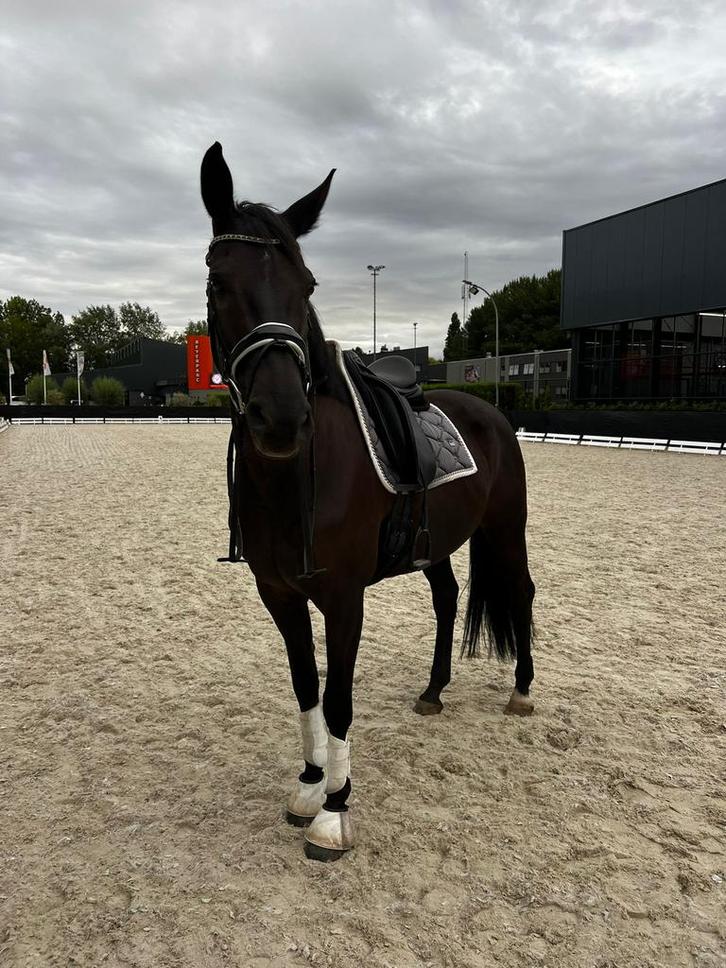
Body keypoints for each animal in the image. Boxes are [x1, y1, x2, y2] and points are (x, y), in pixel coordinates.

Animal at [200, 142, 536, 862]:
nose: (281, 417)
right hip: (436, 544)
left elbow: (338, 698)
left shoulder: (343, 596)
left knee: (521, 592)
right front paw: (308, 785)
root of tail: (491, 410)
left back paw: (522, 690)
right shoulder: (279, 593)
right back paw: (434, 690)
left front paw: (335, 811)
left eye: (307, 285)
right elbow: (305, 686)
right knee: (449, 598)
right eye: (217, 283)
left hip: (506, 527)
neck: (299, 478)